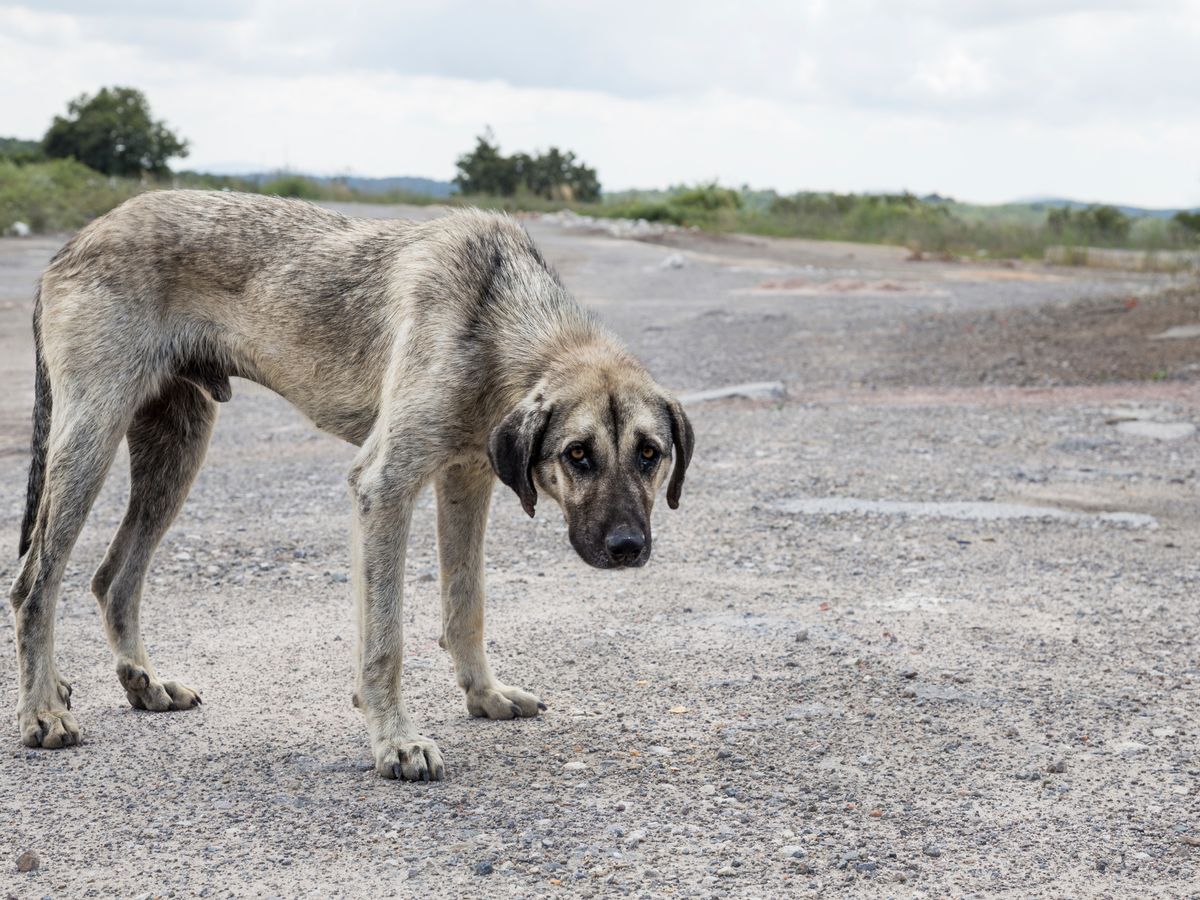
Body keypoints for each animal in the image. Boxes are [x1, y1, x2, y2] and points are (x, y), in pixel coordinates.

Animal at [7, 190, 696, 782]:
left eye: (650, 454)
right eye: (578, 454)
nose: (628, 548)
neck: (497, 316)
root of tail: (72, 243)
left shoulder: (466, 480)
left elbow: (465, 604)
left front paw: (484, 695)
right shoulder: (384, 488)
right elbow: (386, 640)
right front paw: (396, 741)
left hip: (175, 452)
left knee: (113, 577)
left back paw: (143, 684)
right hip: (90, 442)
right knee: (33, 585)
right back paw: (42, 710)